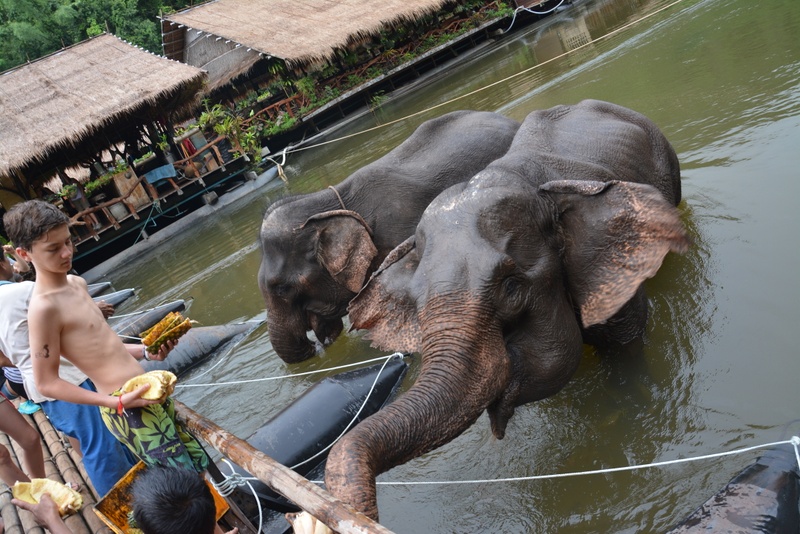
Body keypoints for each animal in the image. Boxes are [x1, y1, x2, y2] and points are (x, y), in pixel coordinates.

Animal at [325, 100, 690, 520]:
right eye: (415, 305)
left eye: (511, 287)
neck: (527, 183)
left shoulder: (615, 286)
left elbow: (626, 349)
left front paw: (627, 410)